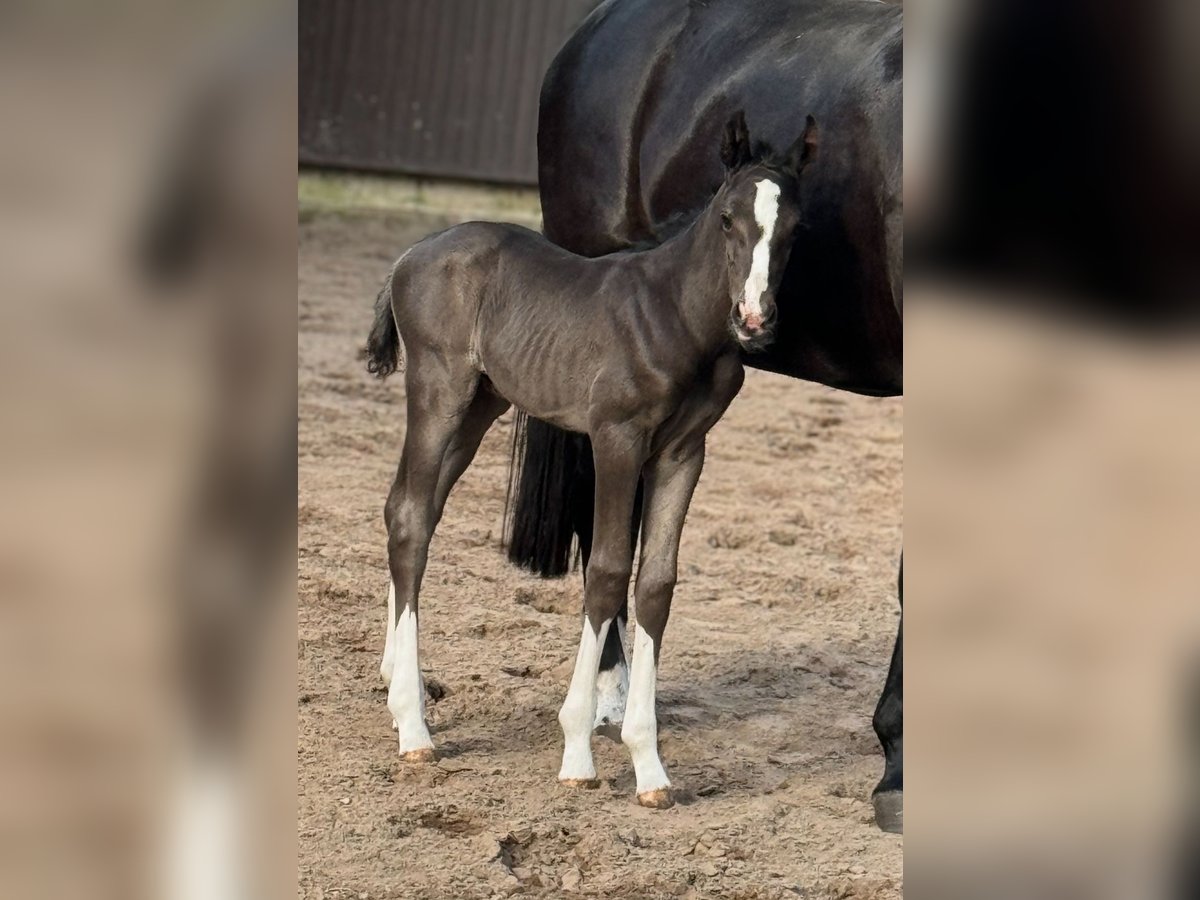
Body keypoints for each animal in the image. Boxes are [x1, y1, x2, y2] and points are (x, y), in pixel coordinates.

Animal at [362, 112, 816, 811]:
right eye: (727, 219)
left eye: (795, 227)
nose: (753, 318)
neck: (677, 316)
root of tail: (411, 255)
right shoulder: (616, 438)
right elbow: (604, 572)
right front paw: (578, 749)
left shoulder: (684, 451)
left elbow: (655, 582)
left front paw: (651, 769)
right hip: (440, 391)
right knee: (411, 517)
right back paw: (414, 728)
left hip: (481, 405)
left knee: (411, 511)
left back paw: (393, 686)